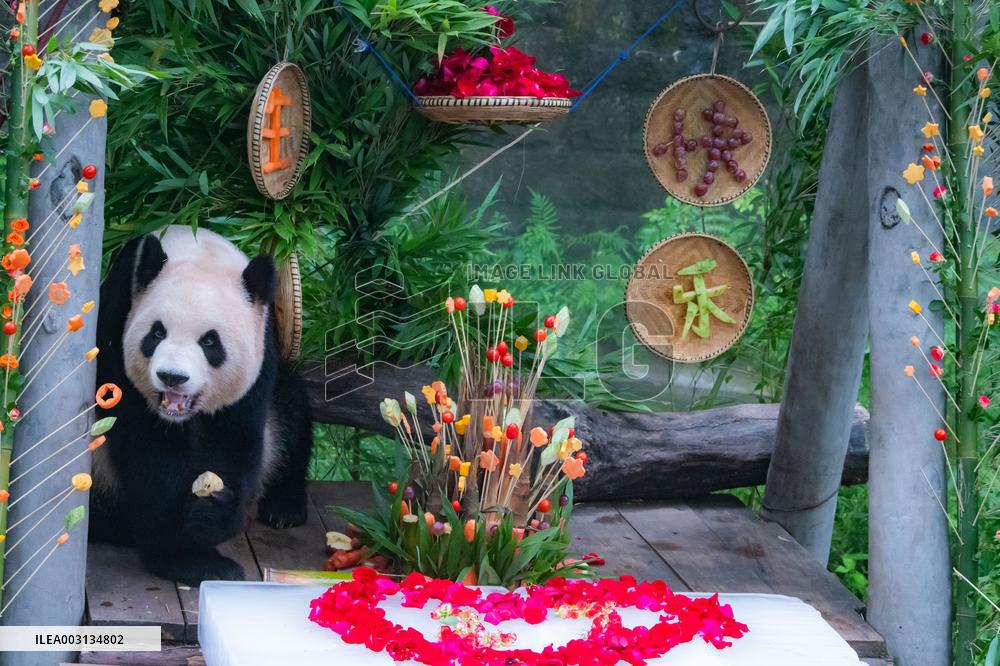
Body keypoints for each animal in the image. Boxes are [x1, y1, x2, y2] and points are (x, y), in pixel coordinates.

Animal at [90, 225, 314, 585]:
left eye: (210, 341)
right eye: (157, 333)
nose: (172, 377)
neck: (200, 252)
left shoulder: (260, 352)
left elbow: (235, 438)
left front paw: (211, 515)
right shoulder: (116, 328)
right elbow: (148, 452)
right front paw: (189, 559)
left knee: (291, 410)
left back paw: (285, 506)